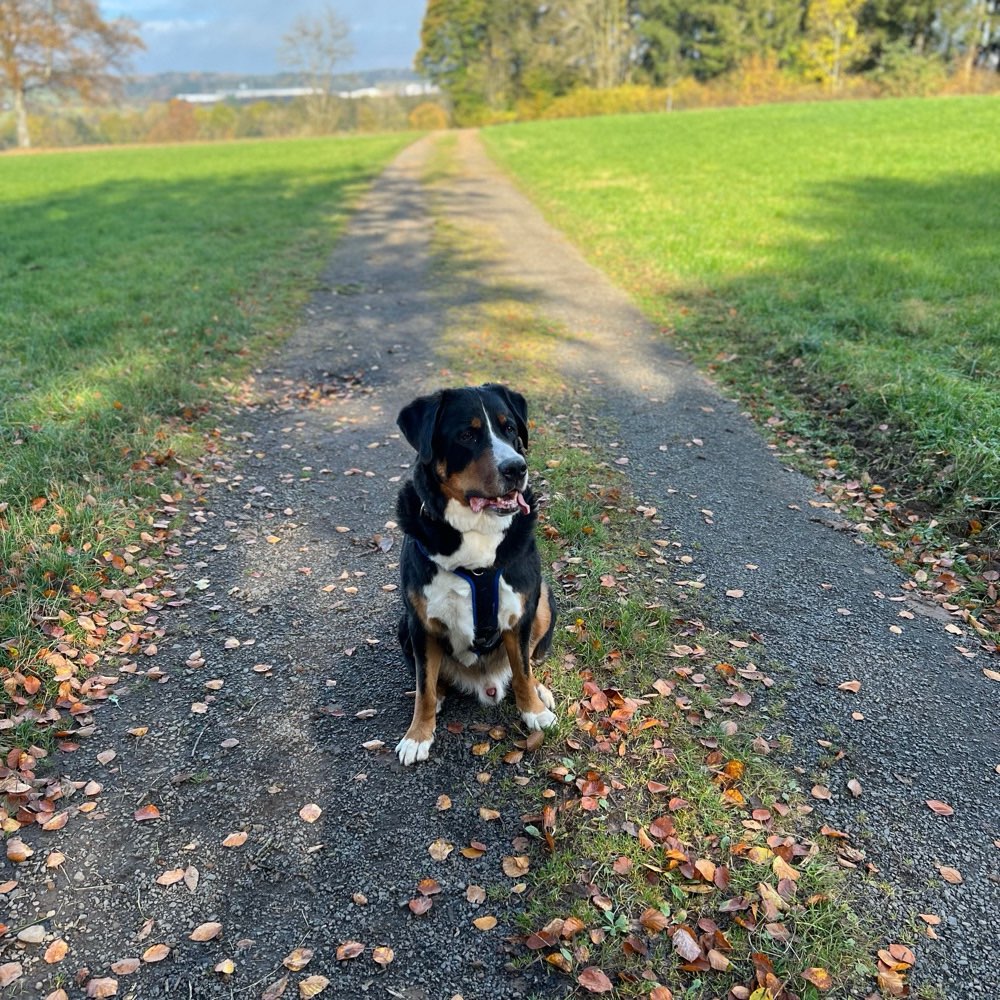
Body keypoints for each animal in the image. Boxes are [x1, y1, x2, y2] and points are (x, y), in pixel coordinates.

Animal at [392, 382, 564, 764]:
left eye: (510, 429)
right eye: (467, 435)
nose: (516, 468)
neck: (477, 532)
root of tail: (484, 682)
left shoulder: (521, 613)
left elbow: (523, 668)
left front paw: (533, 710)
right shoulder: (421, 623)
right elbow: (424, 686)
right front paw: (417, 734)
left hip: (544, 601)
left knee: (523, 664)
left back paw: (540, 692)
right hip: (404, 625)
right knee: (430, 677)